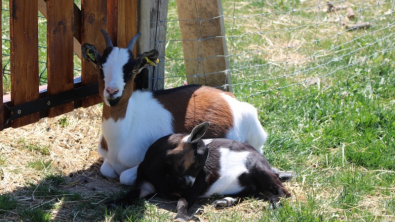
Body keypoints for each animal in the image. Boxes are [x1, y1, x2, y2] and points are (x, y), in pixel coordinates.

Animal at [82, 29, 270, 186]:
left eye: (133, 71)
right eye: (100, 66)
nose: (112, 92)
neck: (122, 135)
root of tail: (231, 100)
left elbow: (124, 176)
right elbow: (106, 170)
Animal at [108, 122, 294, 221]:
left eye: (201, 164)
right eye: (197, 160)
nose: (189, 183)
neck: (163, 175)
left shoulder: (193, 191)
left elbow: (182, 201)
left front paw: (182, 216)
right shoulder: (146, 185)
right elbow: (132, 193)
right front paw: (114, 203)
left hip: (259, 168)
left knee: (283, 192)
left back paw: (275, 204)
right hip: (249, 183)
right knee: (255, 191)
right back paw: (225, 201)